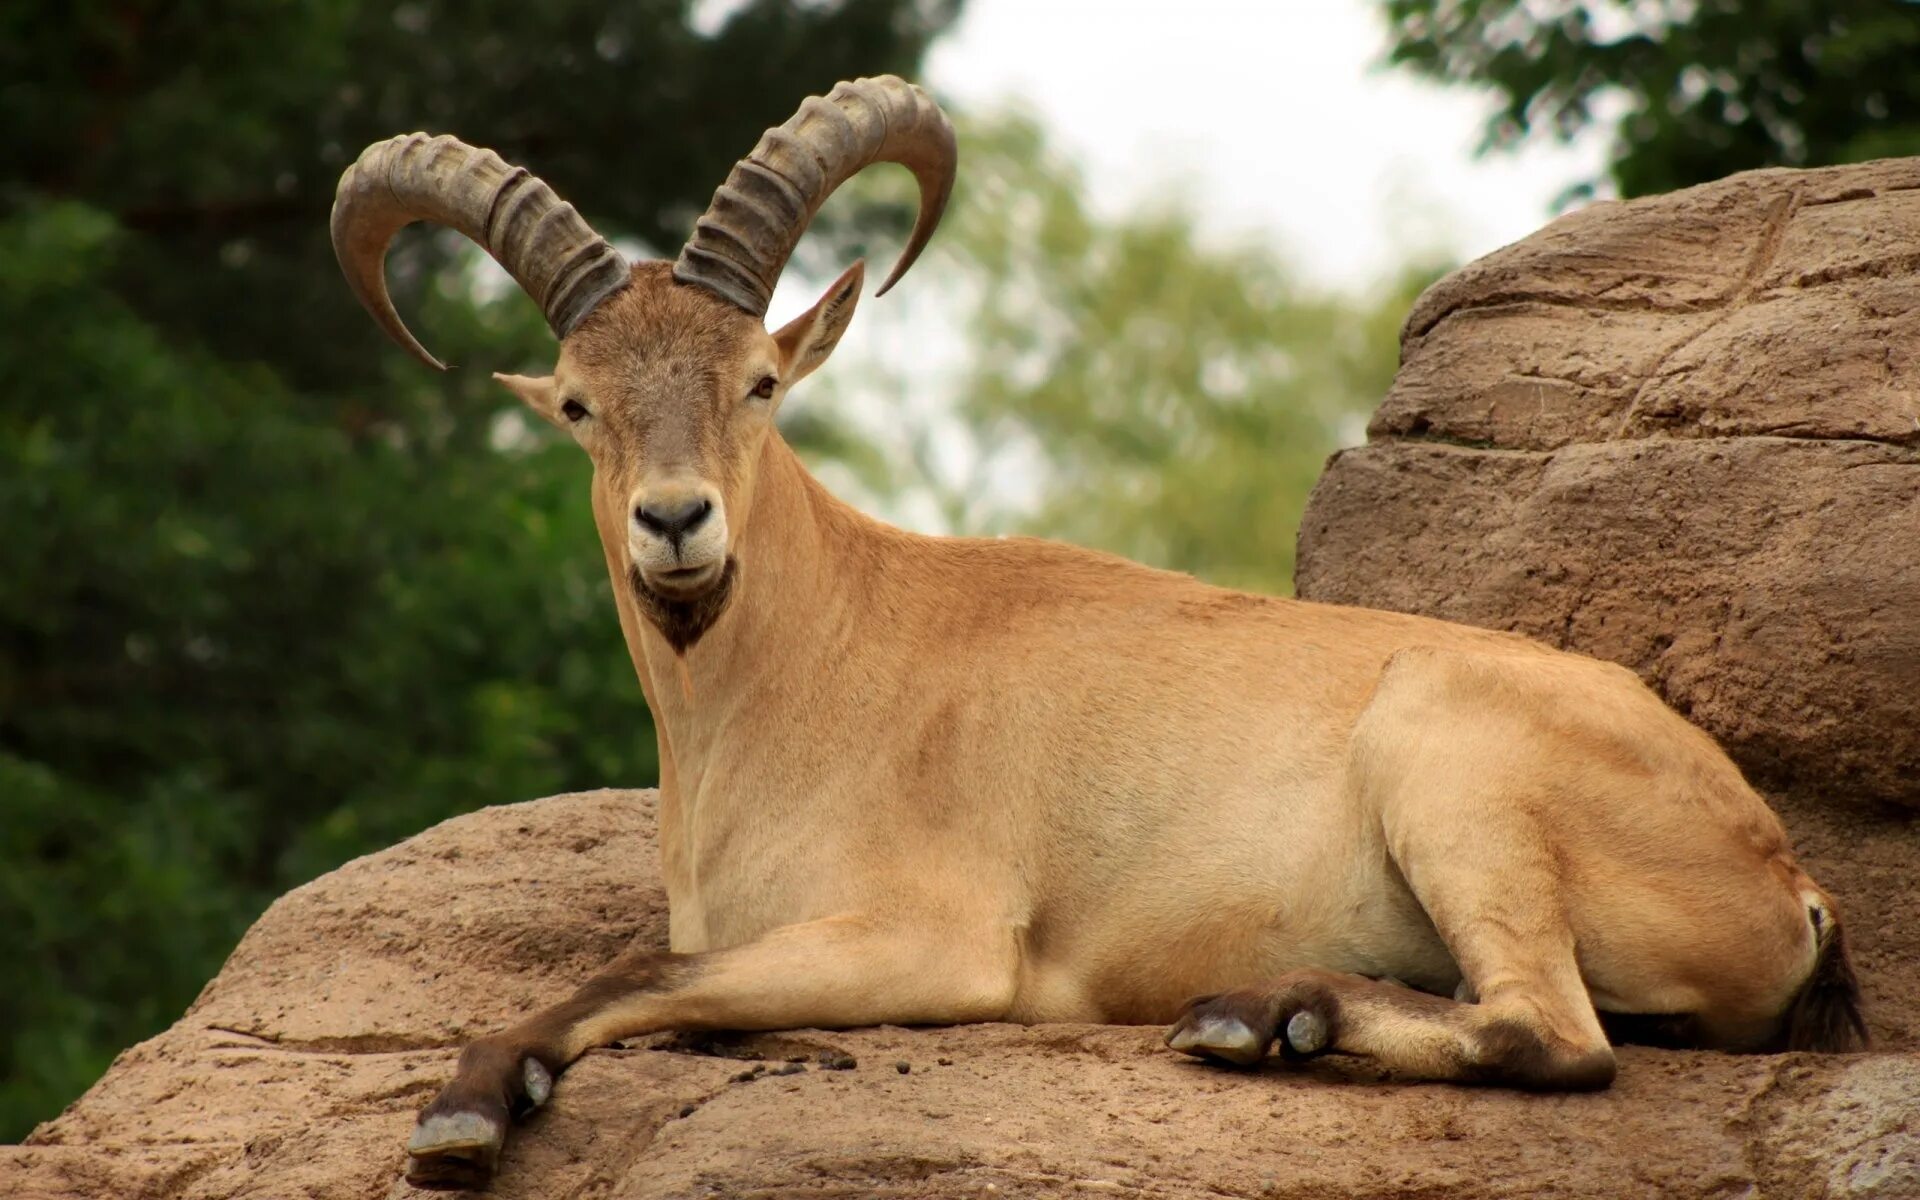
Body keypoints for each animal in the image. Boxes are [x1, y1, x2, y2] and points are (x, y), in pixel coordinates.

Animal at [326, 74, 1858, 1190]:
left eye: (760, 381)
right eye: (581, 404)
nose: (676, 524)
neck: (809, 669)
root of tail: (1786, 880)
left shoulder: (935, 943)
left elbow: (644, 969)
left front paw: (466, 1110)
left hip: (1454, 764)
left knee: (1557, 1035)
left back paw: (1258, 1017)